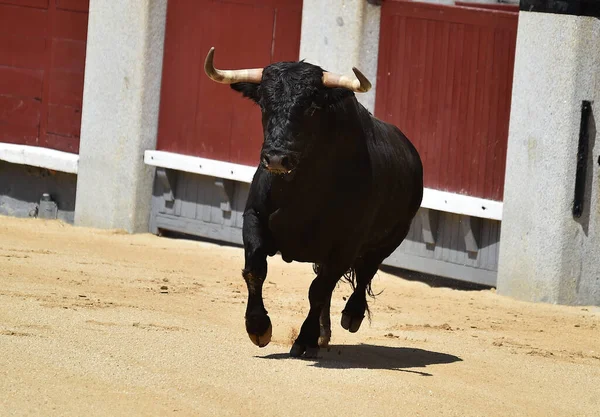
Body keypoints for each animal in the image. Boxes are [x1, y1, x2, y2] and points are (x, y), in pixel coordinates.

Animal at [205, 52, 422, 358]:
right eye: (264, 104)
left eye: (310, 108)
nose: (276, 158)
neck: (300, 191)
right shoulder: (254, 218)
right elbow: (256, 270)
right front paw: (258, 327)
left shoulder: (346, 243)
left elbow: (318, 290)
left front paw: (305, 340)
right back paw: (323, 332)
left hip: (391, 239)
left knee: (365, 272)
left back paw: (351, 316)